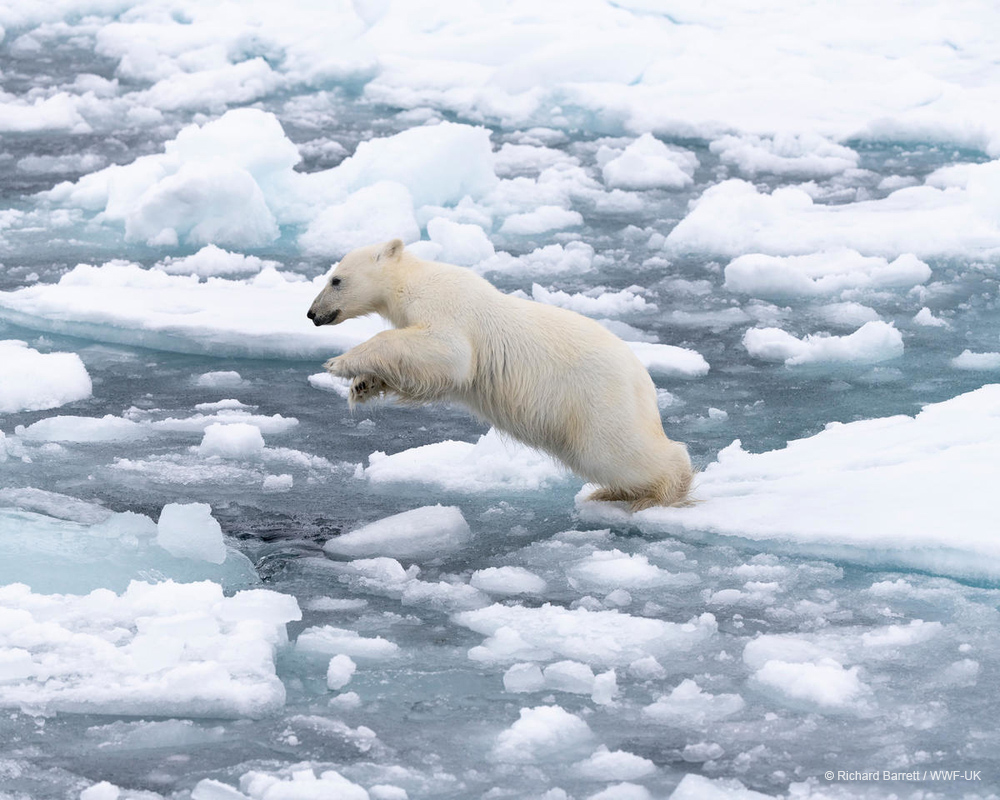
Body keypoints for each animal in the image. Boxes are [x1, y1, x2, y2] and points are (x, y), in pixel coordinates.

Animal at [308, 241, 692, 510]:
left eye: (336, 279)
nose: (312, 313)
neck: (411, 281)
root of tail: (644, 381)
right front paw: (362, 385)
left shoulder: (447, 306)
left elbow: (448, 353)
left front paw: (340, 362)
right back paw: (611, 493)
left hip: (597, 399)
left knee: (616, 450)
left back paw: (660, 491)